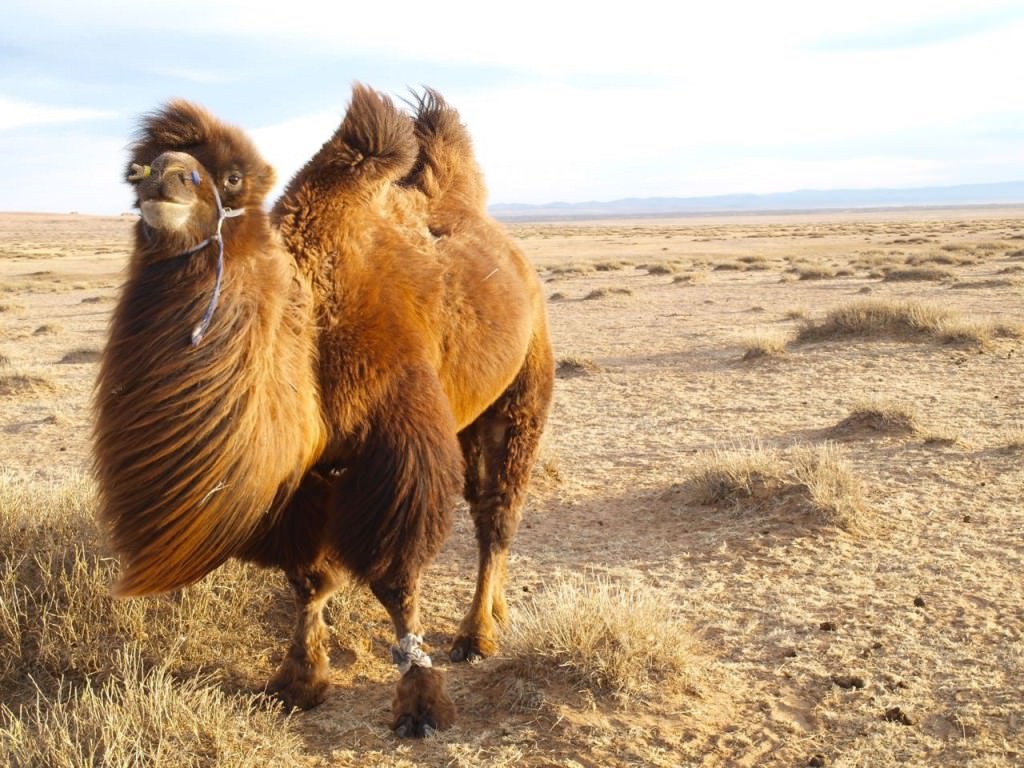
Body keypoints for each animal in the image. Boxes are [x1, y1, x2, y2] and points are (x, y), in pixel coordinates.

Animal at [95, 85, 557, 741]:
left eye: (231, 177)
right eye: (138, 170)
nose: (165, 178)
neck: (311, 322)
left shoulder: (398, 443)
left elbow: (395, 578)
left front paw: (419, 703)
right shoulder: (305, 474)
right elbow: (306, 577)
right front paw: (299, 681)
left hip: (522, 386)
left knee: (497, 512)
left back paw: (477, 635)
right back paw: (496, 612)